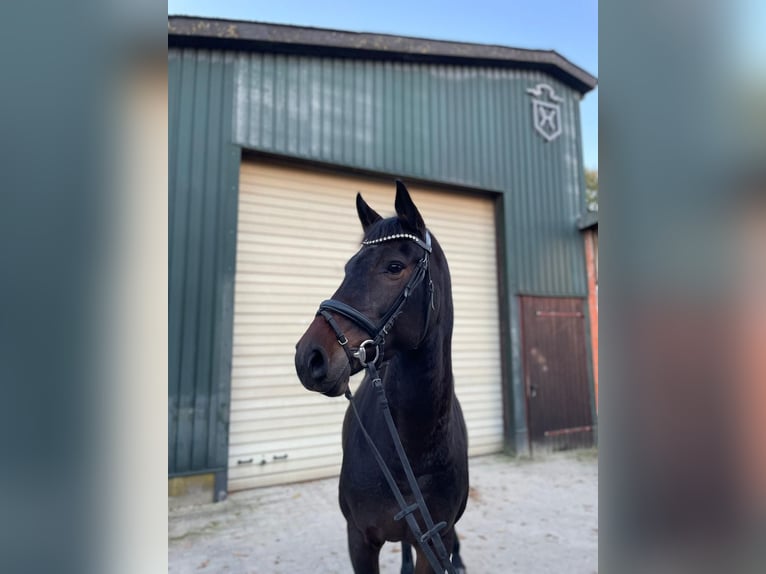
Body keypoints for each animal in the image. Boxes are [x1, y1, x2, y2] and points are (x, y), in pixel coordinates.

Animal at [294, 181, 469, 573]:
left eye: (394, 266)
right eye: (348, 267)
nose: (308, 357)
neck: (411, 448)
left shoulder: (433, 544)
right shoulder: (360, 540)